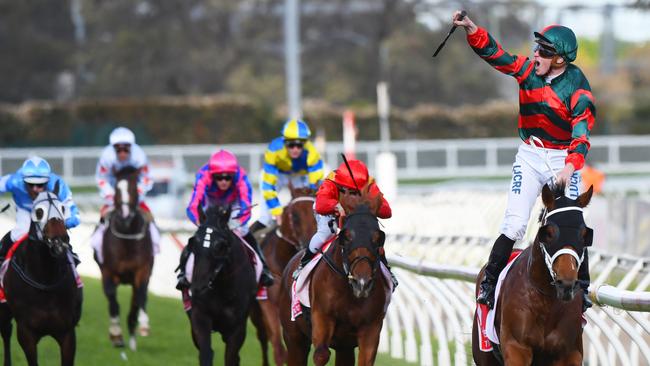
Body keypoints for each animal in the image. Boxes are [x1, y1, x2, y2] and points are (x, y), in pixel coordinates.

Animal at [0, 189, 82, 366]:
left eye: (62, 208)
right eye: (39, 212)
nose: (59, 241)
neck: (45, 279)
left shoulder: (67, 333)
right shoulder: (26, 334)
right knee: (6, 332)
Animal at [98, 166, 153, 348]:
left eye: (134, 188)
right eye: (116, 188)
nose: (126, 215)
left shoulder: (142, 270)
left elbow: (142, 293)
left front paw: (144, 324)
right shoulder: (108, 272)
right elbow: (113, 300)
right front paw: (116, 333)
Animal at [278, 187, 390, 364]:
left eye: (378, 238)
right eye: (347, 236)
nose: (362, 282)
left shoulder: (370, 329)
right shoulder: (321, 317)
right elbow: (321, 354)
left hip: (344, 347)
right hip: (294, 338)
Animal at [470, 183, 592, 366]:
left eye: (584, 234)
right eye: (549, 233)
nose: (566, 283)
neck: (547, 300)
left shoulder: (569, 354)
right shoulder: (517, 348)